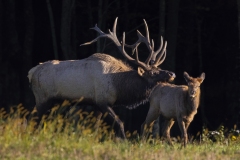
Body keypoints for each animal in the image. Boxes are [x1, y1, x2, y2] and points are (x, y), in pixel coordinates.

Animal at [28, 16, 175, 138]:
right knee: (31, 119)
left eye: (159, 69)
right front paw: (124, 142)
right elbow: (119, 123)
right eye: (152, 73)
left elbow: (96, 127)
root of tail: (31, 72)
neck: (119, 86)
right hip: (42, 98)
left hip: (54, 102)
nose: (172, 73)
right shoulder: (102, 101)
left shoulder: (96, 105)